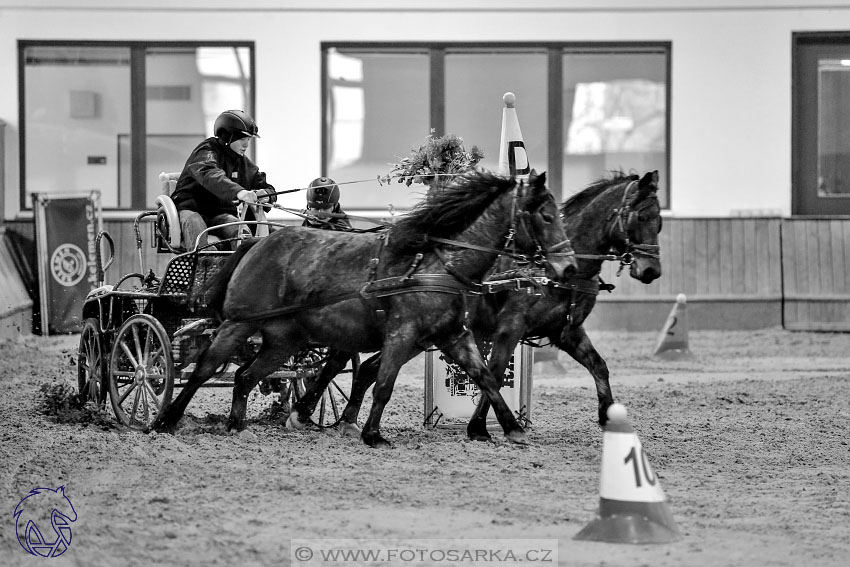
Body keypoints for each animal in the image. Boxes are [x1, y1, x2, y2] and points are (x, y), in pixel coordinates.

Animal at [152, 171, 576, 446]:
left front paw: (512, 430)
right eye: (546, 215)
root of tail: (255, 243)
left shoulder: (453, 336)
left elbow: (486, 378)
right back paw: (165, 420)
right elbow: (384, 384)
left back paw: (237, 426)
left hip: (284, 339)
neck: (433, 263)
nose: (568, 267)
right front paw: (372, 434)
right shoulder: (402, 334)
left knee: (243, 376)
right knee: (204, 369)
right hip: (237, 324)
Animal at [322, 171, 660, 442]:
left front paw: (609, 417)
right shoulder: (511, 325)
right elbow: (494, 374)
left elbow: (599, 366)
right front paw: (481, 427)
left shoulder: (567, 331)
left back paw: (348, 422)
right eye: (640, 217)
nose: (651, 271)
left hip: (419, 336)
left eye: (659, 221)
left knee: (368, 368)